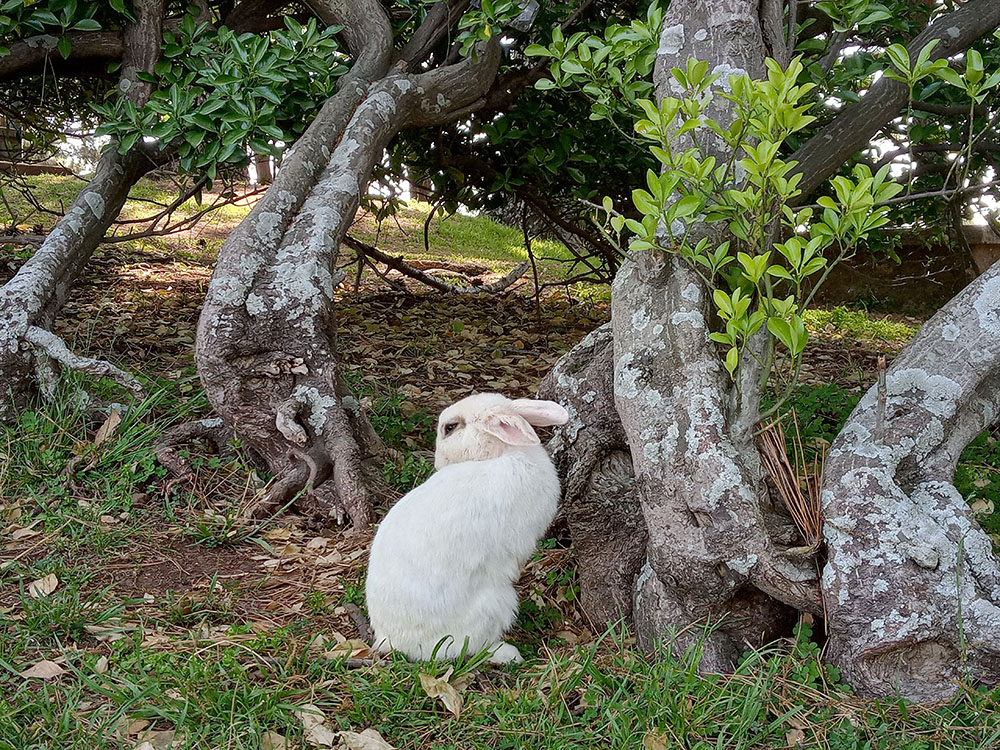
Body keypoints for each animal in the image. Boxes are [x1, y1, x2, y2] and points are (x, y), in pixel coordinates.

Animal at [368, 394, 572, 664]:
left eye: (450, 428)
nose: (438, 464)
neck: (501, 452)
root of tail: (390, 639)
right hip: (496, 603)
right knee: (472, 647)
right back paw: (508, 654)